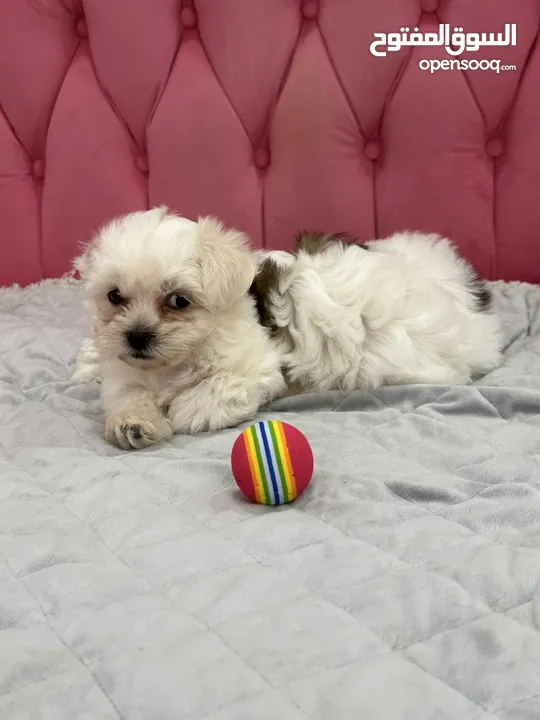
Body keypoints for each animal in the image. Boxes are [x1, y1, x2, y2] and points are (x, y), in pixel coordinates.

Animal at [76, 205, 286, 448]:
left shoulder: (260, 367)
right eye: (115, 296)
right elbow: (130, 393)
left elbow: (224, 381)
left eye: (179, 300)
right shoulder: (122, 374)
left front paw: (185, 411)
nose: (137, 336)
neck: (173, 363)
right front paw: (133, 422)